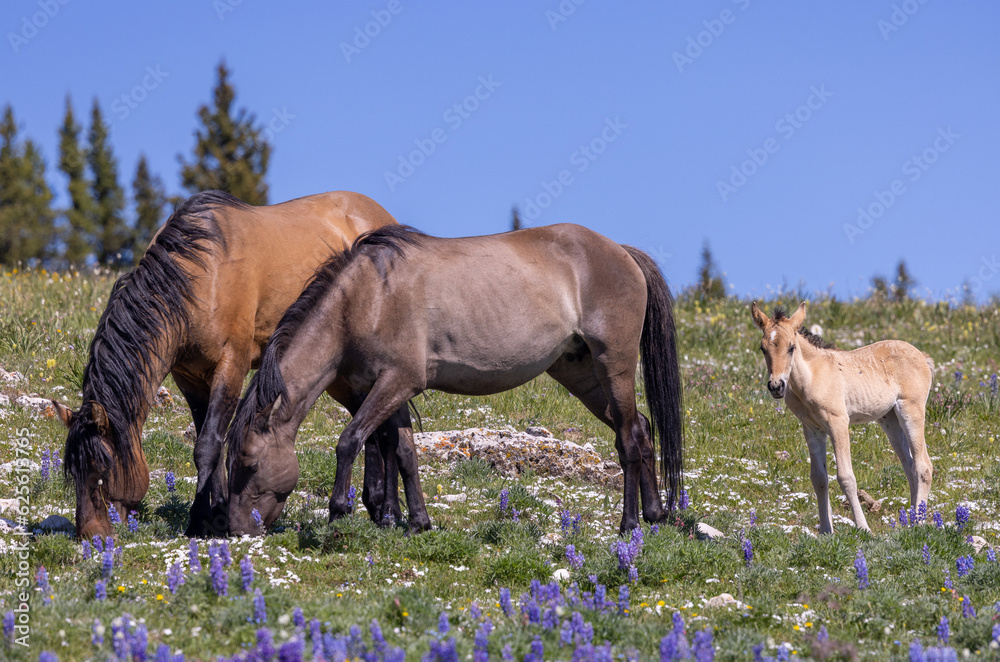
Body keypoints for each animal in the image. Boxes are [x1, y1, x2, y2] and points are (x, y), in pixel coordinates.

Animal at [51, 190, 429, 539]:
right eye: (73, 472)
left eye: (102, 467)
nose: (90, 534)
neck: (199, 277)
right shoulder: (190, 379)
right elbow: (210, 444)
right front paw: (214, 513)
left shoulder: (231, 365)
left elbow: (208, 446)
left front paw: (200, 521)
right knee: (376, 431)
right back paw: (379, 507)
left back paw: (388, 512)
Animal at [225, 223, 684, 536]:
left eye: (248, 463)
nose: (236, 529)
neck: (366, 297)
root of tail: (622, 252)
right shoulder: (391, 389)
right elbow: (404, 453)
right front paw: (416, 522)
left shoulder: (397, 383)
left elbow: (350, 440)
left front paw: (340, 510)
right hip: (581, 372)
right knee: (640, 430)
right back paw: (655, 515)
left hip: (613, 365)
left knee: (628, 440)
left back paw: (629, 525)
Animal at [750, 301, 934, 533]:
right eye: (763, 348)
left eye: (791, 347)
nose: (776, 386)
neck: (811, 376)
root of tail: (923, 357)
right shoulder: (812, 429)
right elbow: (819, 478)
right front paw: (826, 531)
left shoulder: (837, 422)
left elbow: (846, 477)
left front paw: (864, 528)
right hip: (890, 420)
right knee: (909, 466)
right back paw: (908, 520)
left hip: (911, 410)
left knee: (923, 466)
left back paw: (918, 523)